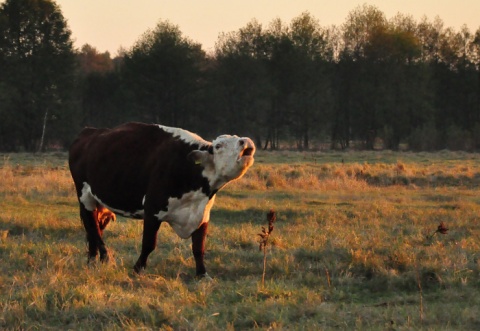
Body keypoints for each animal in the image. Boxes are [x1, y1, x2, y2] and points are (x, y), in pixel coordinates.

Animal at [68, 122, 255, 278]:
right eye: (218, 145)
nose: (245, 141)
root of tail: (90, 131)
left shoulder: (202, 215)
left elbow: (198, 247)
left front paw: (202, 274)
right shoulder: (152, 210)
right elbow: (149, 244)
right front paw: (137, 269)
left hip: (100, 204)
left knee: (94, 229)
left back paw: (92, 261)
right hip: (85, 197)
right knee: (93, 228)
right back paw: (105, 258)